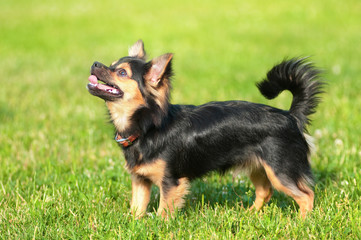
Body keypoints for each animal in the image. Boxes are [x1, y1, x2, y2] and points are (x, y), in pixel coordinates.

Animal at [87, 40, 324, 218]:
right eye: (111, 64)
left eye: (121, 72)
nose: (95, 63)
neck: (148, 127)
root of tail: (290, 115)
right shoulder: (140, 181)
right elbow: (136, 207)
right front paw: (135, 224)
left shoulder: (171, 182)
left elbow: (164, 210)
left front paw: (159, 226)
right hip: (259, 167)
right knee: (265, 192)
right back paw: (249, 214)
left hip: (280, 171)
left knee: (307, 196)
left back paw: (301, 222)